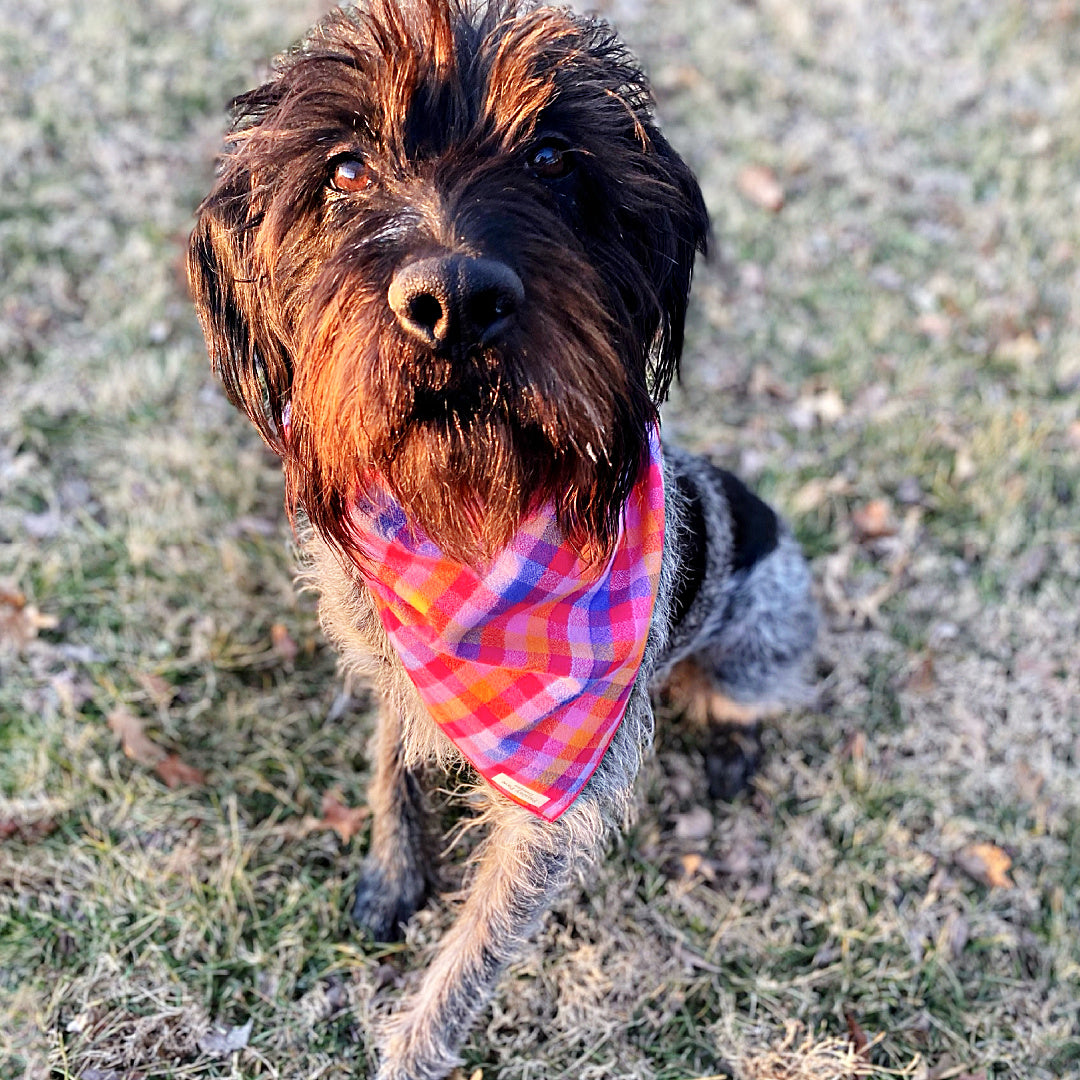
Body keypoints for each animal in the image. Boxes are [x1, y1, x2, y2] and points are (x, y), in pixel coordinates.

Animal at [190, 2, 812, 1080]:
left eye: (556, 158)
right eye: (343, 169)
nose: (453, 303)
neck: (469, 532)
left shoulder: (555, 814)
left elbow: (470, 959)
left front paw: (409, 1051)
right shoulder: (388, 652)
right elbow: (392, 755)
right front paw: (393, 866)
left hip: (758, 645)